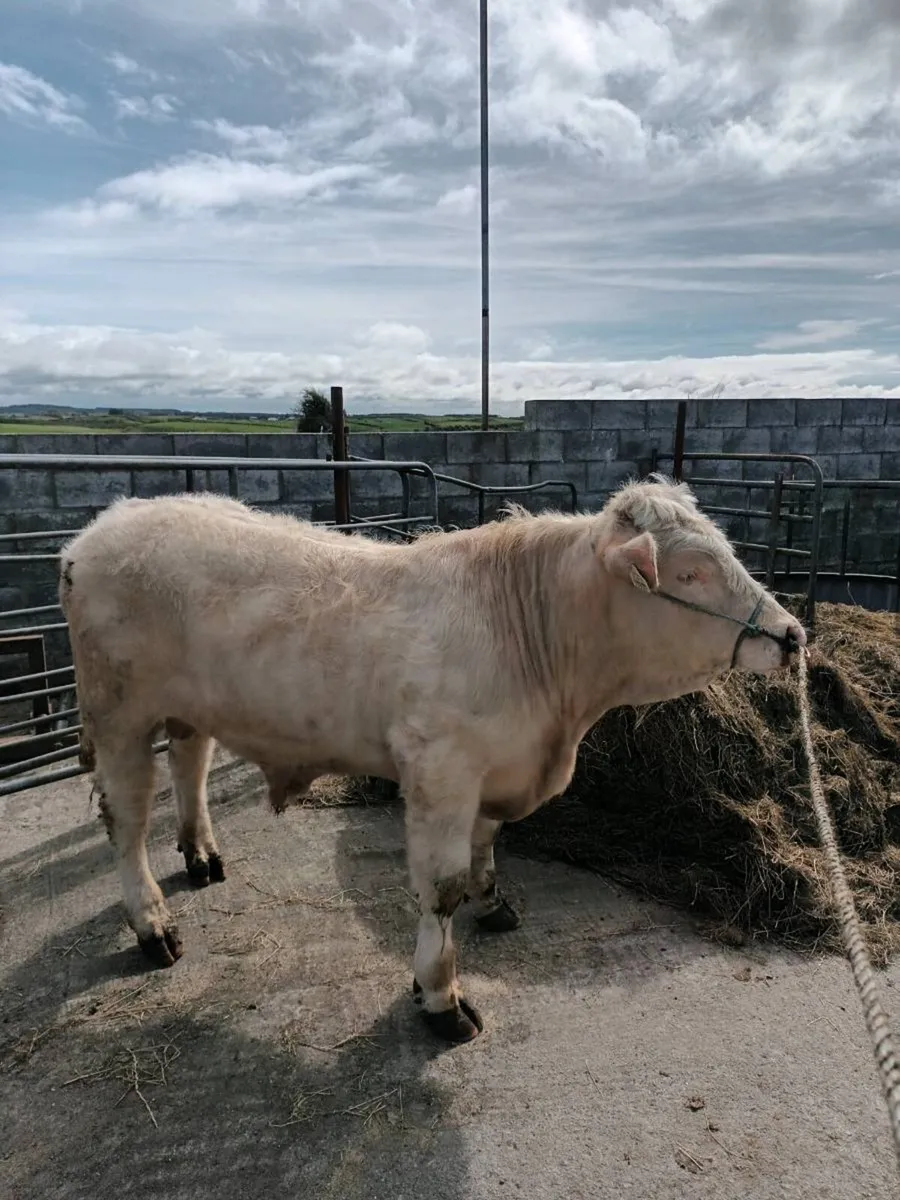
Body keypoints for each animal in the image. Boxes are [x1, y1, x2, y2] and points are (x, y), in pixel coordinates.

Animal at [57, 476, 806, 1044]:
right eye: (691, 572)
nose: (793, 635)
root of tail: (106, 524)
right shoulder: (441, 771)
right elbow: (440, 889)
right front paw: (441, 996)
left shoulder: (495, 768)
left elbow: (487, 844)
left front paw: (492, 899)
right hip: (118, 715)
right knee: (126, 818)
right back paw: (152, 923)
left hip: (189, 706)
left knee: (191, 762)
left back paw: (202, 854)